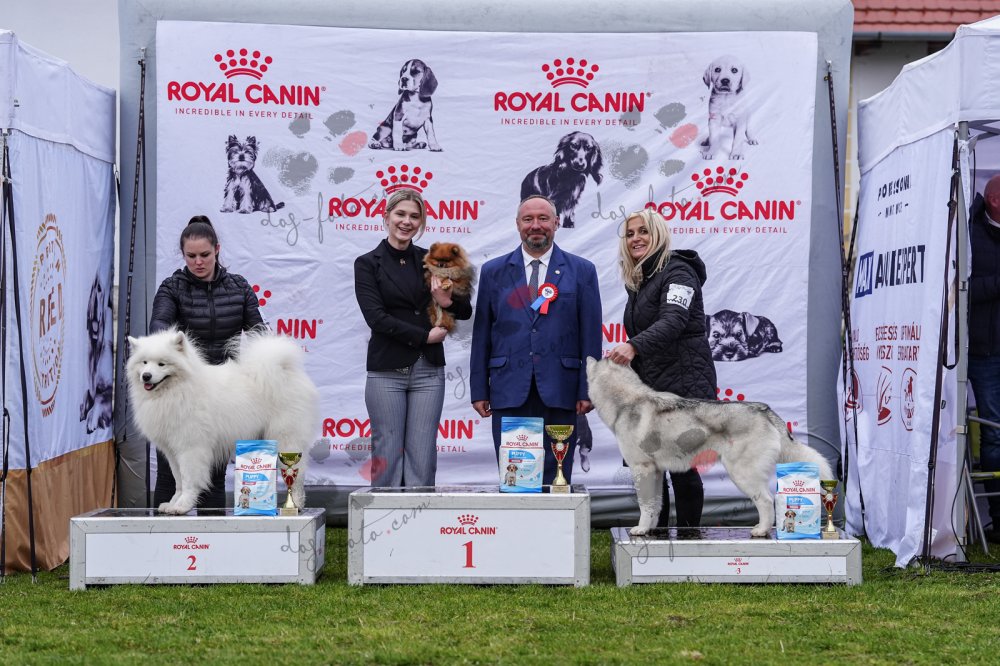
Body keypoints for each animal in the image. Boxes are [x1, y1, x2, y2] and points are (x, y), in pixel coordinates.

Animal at [126, 329, 318, 515]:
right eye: (144, 362)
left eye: (162, 364)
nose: (146, 376)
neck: (177, 391)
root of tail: (285, 369)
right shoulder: (172, 451)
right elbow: (178, 479)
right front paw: (174, 503)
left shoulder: (191, 448)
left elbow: (189, 480)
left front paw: (183, 506)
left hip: (287, 439)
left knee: (296, 476)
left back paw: (296, 504)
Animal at [586, 358, 832, 537]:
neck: (627, 402)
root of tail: (764, 410)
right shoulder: (655, 472)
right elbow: (655, 505)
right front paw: (651, 528)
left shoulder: (642, 469)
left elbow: (644, 505)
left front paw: (640, 529)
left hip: (741, 474)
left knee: (766, 500)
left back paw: (761, 531)